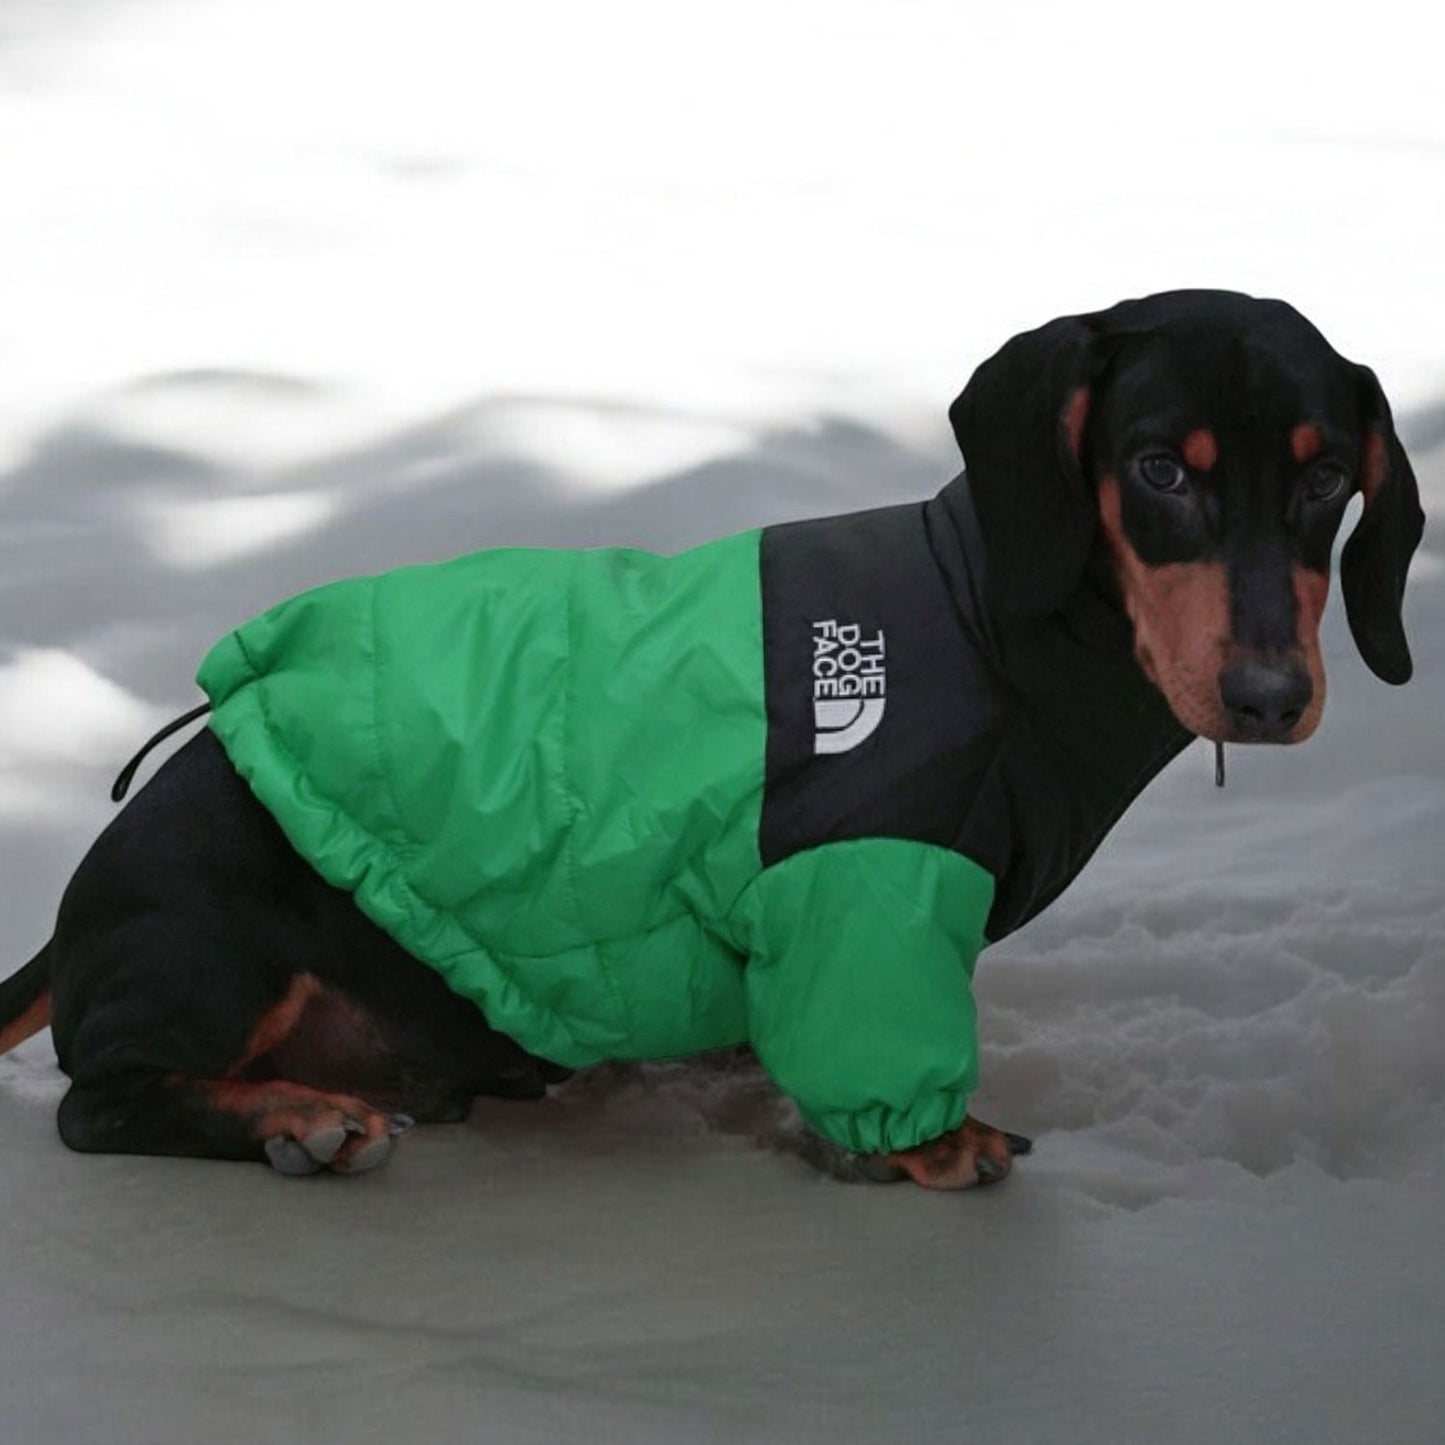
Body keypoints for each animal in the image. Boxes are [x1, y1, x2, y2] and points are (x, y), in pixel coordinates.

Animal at [0, 290, 1421, 1184]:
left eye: (1323, 479)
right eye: (1158, 468)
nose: (1266, 695)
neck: (987, 614)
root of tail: (78, 918)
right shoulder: (867, 874)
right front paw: (924, 1140)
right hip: (215, 940)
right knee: (93, 1100)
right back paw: (299, 1119)